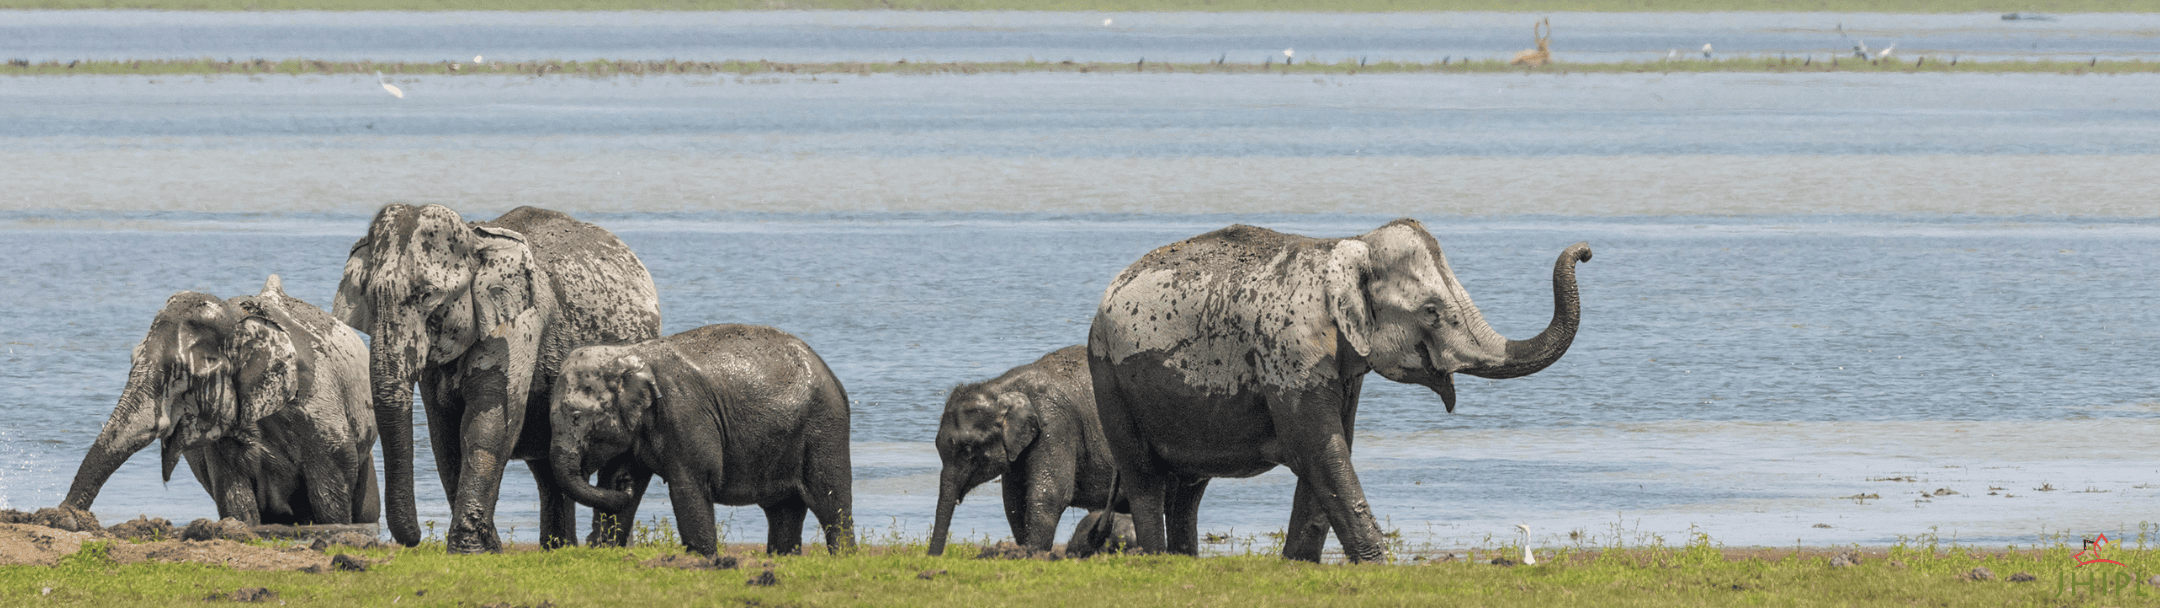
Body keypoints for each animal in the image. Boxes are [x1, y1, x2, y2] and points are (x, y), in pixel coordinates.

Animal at [60, 275, 380, 527]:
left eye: (183, 375)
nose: (65, 517)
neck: (236, 317)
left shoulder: (318, 410)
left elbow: (331, 505)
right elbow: (237, 503)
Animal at [333, 204, 663, 552]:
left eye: (428, 295)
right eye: (369, 296)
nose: (416, 540)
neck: (476, 239)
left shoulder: (518, 324)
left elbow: (486, 424)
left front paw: (471, 550)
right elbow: (444, 436)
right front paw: (488, 546)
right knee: (548, 469)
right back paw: (559, 547)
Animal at [548, 324, 855, 557]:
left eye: (576, 416)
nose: (626, 485)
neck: (631, 353)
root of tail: (833, 377)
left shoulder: (685, 412)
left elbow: (692, 481)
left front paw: (703, 558)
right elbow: (614, 481)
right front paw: (607, 550)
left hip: (824, 428)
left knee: (830, 499)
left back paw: (843, 558)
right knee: (783, 509)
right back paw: (782, 558)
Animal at [928, 345, 1127, 558]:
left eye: (968, 450)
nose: (934, 557)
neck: (1002, 389)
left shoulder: (1055, 425)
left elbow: (1051, 493)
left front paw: (1033, 554)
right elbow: (1013, 499)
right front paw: (1024, 551)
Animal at [1087, 219, 1590, 563]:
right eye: (1431, 311)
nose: (1585, 251)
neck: (1347, 245)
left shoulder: (1344, 365)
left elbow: (1335, 445)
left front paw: (1298, 563)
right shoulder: (1288, 348)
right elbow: (1315, 448)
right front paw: (1379, 565)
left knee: (1189, 488)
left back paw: (1182, 560)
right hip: (1109, 378)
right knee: (1145, 479)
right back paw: (1158, 560)